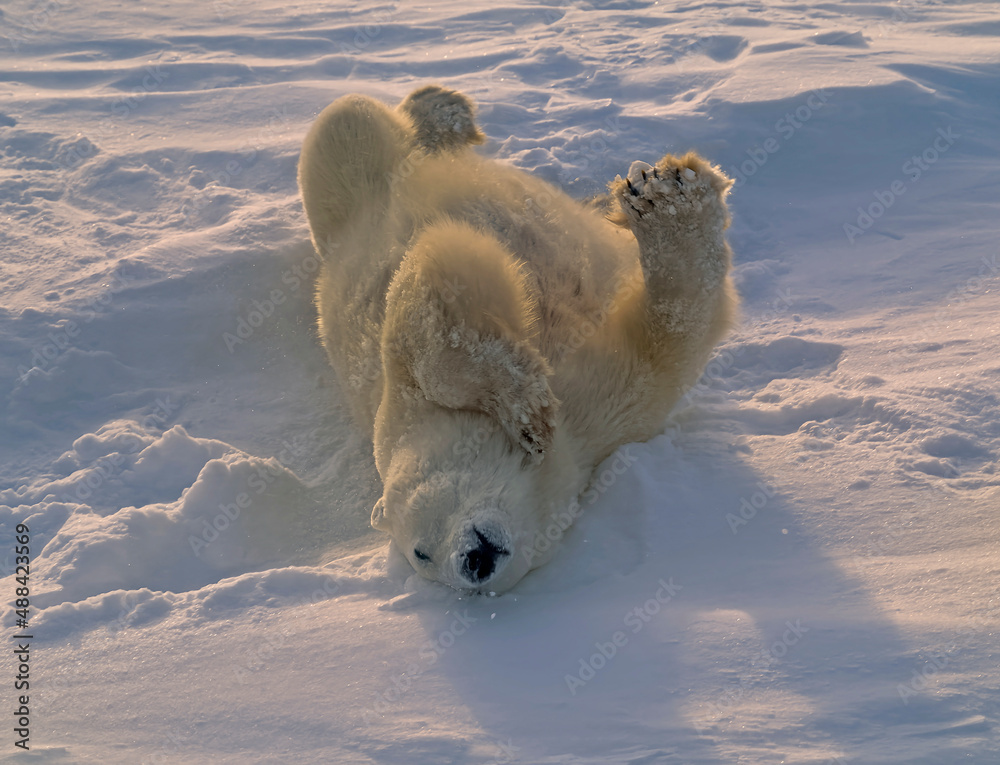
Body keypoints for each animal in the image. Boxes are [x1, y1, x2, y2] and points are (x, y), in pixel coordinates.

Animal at [296, 86, 736, 592]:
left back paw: (445, 109)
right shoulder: (603, 420)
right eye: (422, 556)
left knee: (346, 125)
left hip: (356, 192)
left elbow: (429, 285)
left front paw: (666, 198)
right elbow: (665, 341)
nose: (473, 562)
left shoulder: (400, 396)